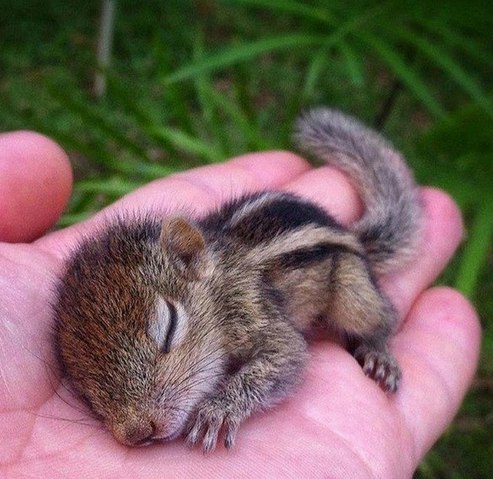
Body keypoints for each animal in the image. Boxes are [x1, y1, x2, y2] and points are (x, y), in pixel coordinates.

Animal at [54, 108, 422, 454]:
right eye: (83, 386)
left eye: (170, 327)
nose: (137, 432)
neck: (219, 286)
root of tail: (351, 234)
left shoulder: (254, 313)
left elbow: (287, 357)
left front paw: (218, 409)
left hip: (352, 290)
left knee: (382, 317)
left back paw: (378, 352)